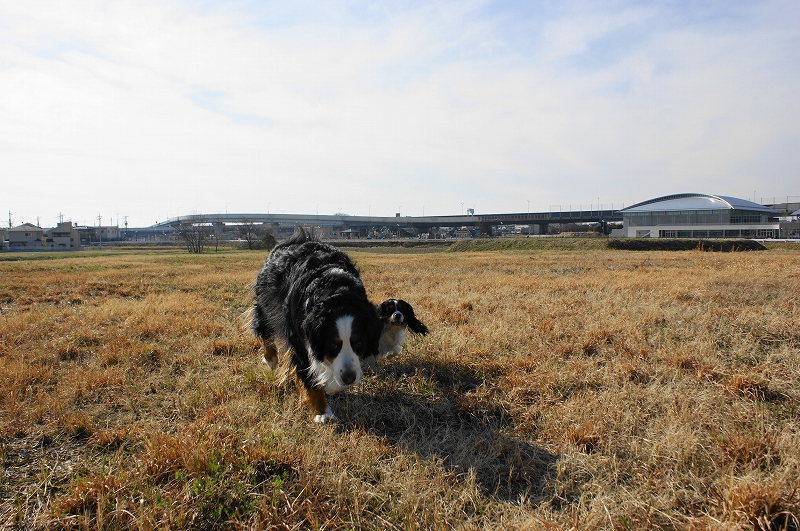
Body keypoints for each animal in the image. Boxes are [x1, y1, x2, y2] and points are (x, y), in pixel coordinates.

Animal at [252, 229, 380, 424]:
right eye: (333, 345)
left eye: (358, 343)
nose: (349, 378)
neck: (336, 293)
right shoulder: (301, 337)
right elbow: (309, 374)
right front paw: (323, 413)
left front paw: (332, 385)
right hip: (265, 300)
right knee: (264, 328)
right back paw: (271, 359)